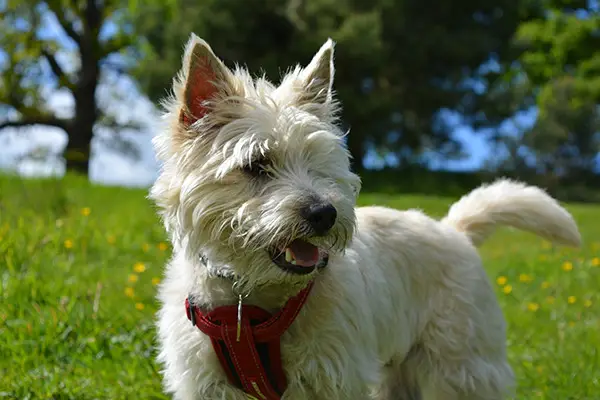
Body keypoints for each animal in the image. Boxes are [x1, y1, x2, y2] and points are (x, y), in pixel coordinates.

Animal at [149, 32, 580, 398]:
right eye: (256, 164)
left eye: (320, 162)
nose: (324, 213)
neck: (249, 303)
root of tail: (453, 230)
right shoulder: (206, 383)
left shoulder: (334, 374)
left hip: (462, 364)